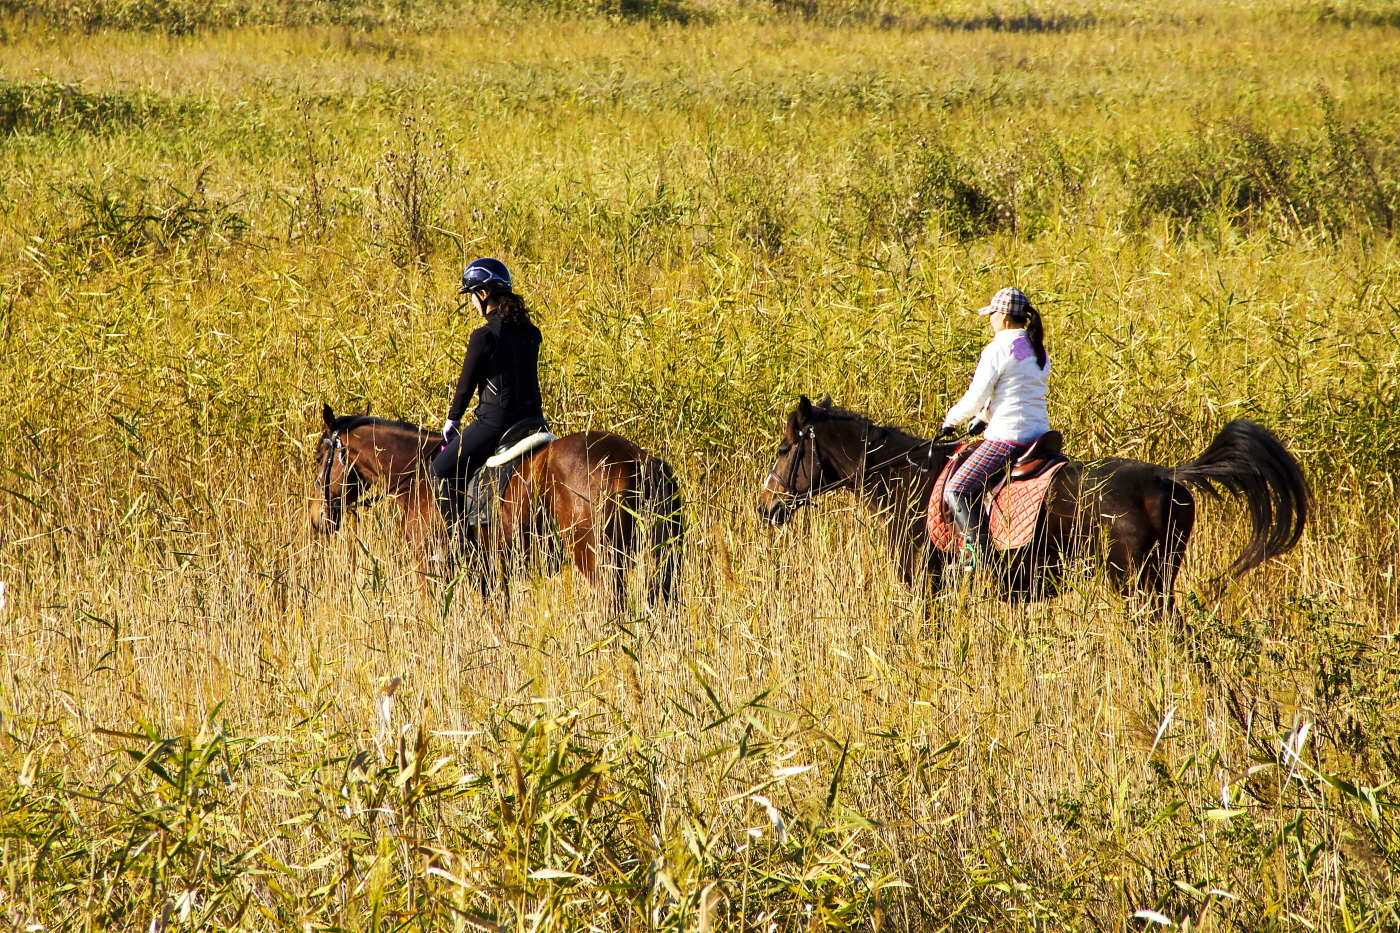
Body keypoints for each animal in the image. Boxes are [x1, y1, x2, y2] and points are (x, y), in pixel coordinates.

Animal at [311, 404, 683, 612]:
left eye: (318, 458)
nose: (317, 519)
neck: (416, 473)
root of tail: (639, 457)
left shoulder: (432, 566)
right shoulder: (491, 572)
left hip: (595, 557)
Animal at [756, 395, 1308, 610]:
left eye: (784, 448)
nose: (765, 507)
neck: (905, 478)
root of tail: (1163, 475)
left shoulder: (923, 579)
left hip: (1136, 583)